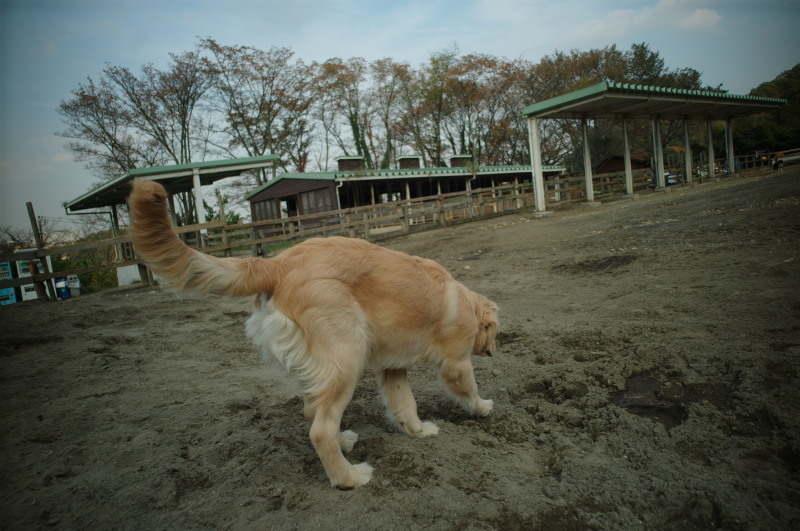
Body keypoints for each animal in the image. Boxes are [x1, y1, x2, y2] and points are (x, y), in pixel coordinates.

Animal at [127, 181, 496, 488]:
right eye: (492, 334)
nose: (493, 351)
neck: (465, 301)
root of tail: (277, 264)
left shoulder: (393, 370)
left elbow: (406, 406)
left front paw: (419, 431)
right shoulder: (456, 363)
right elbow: (469, 388)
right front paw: (483, 407)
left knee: (311, 412)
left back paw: (345, 441)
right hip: (348, 356)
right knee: (320, 429)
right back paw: (349, 477)